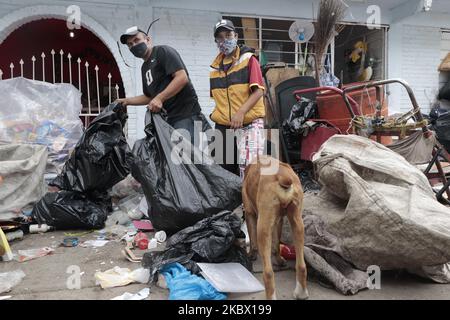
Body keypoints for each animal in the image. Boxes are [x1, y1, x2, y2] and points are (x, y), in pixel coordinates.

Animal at [243, 155, 310, 300]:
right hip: (297, 223)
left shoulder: (249, 212)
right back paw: (301, 293)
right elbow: (276, 246)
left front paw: (251, 254)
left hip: (262, 228)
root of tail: (282, 176)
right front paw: (279, 260)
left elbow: (252, 240)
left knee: (268, 272)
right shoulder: (278, 220)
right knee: (301, 265)